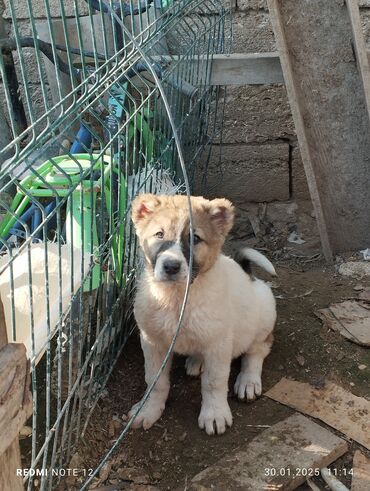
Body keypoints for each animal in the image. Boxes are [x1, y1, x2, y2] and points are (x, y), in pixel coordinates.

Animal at [129, 194, 276, 436]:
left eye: (195, 238)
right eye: (159, 234)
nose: (171, 266)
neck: (178, 298)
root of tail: (250, 277)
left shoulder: (218, 344)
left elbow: (213, 382)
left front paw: (214, 414)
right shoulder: (152, 341)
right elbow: (154, 380)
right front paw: (148, 409)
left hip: (264, 316)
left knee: (257, 351)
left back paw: (248, 382)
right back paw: (196, 362)